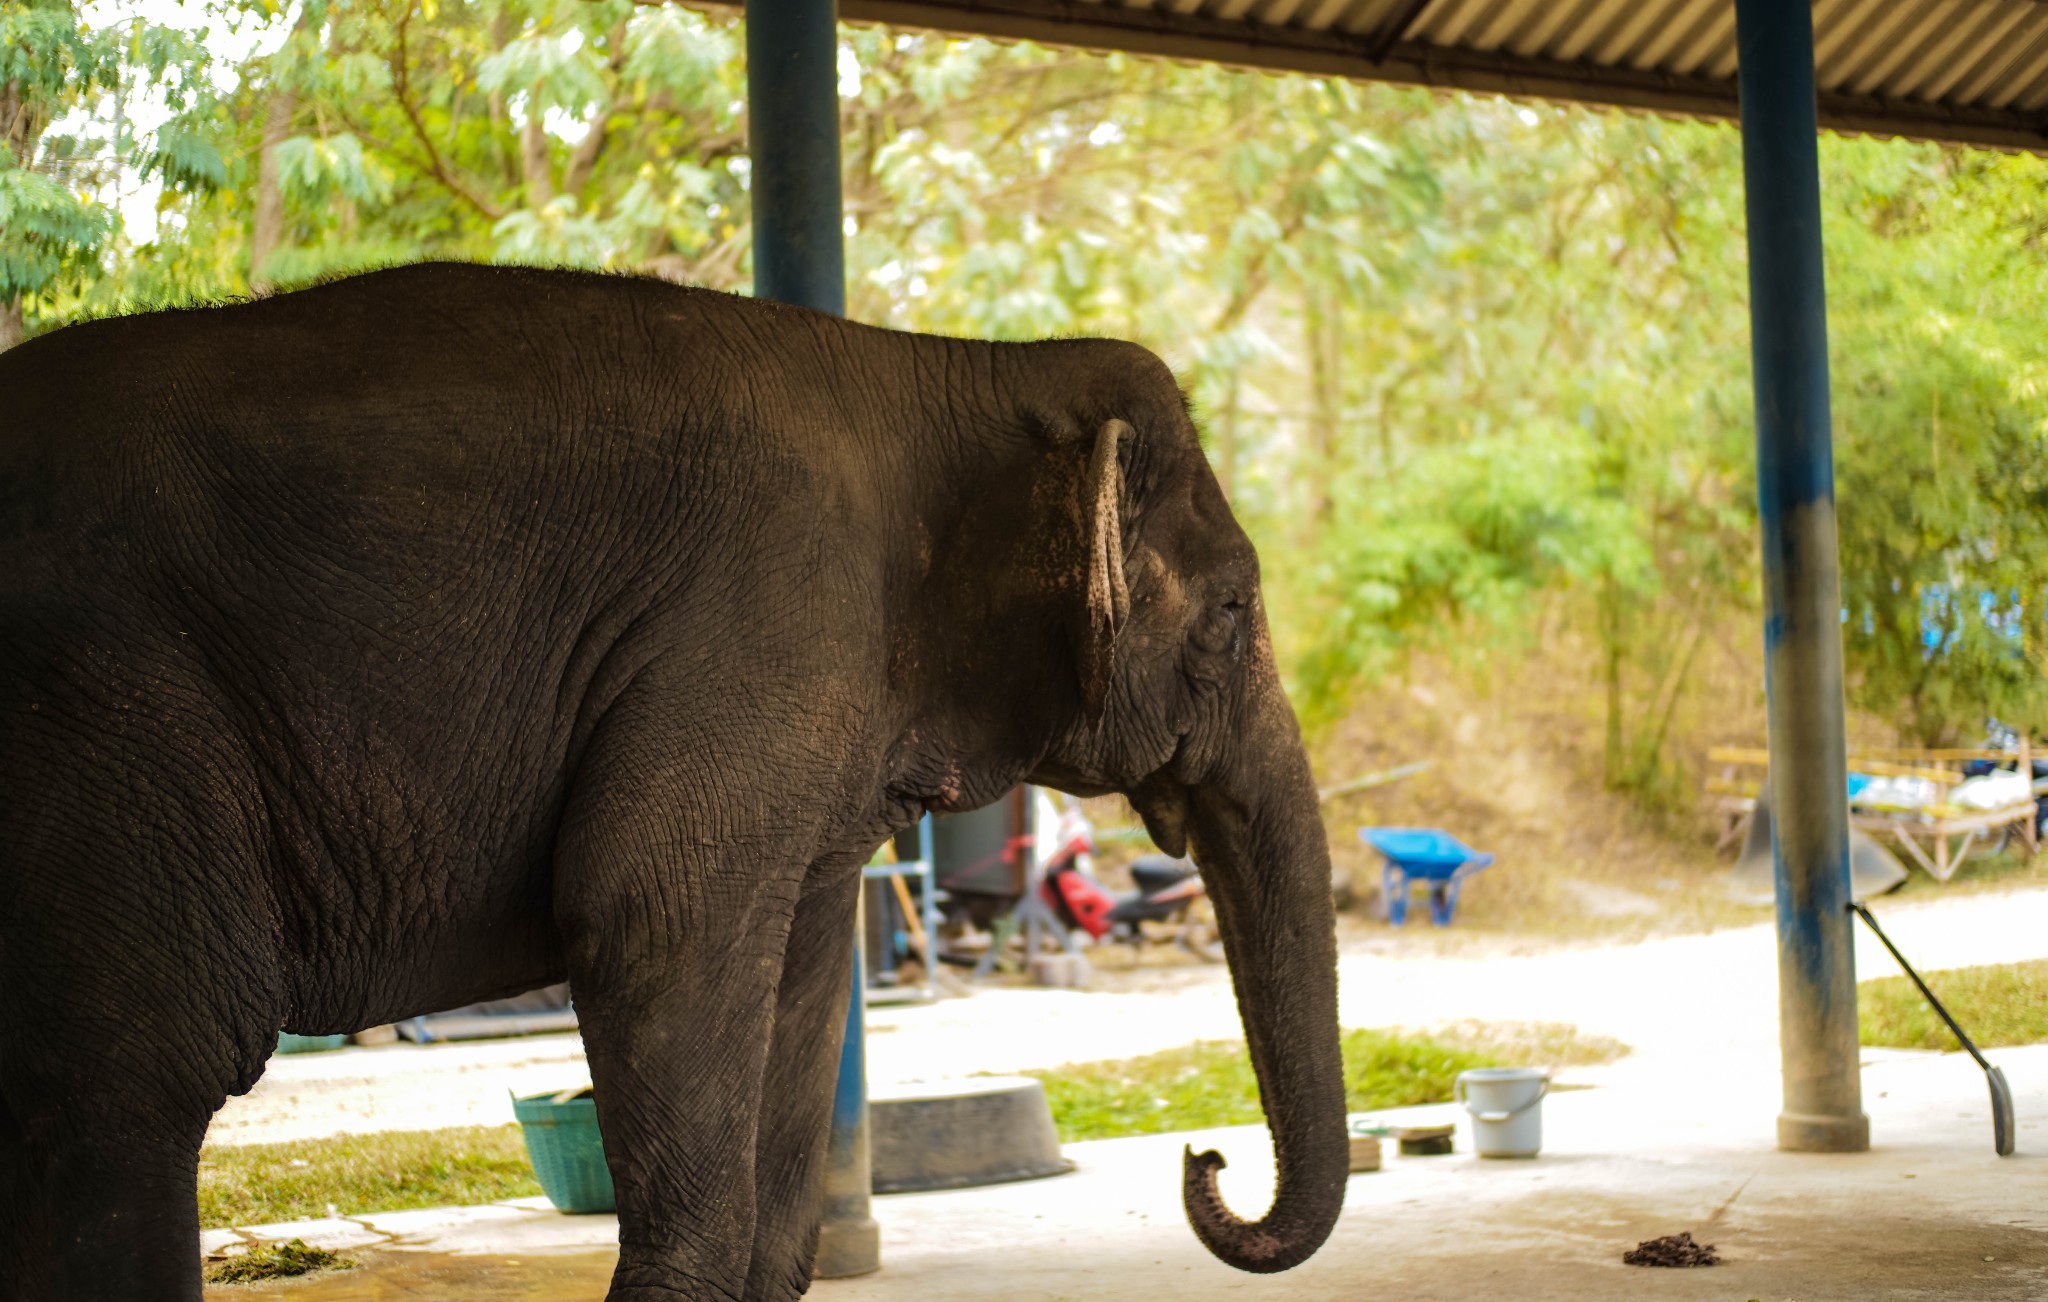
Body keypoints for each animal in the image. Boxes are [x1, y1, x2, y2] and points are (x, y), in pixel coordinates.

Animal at [0, 258, 1351, 1293]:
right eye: (1231, 615)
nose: (1204, 1160)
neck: (959, 367)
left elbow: (805, 979)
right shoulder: (757, 625)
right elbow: (651, 919)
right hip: (106, 726)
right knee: (138, 1078)